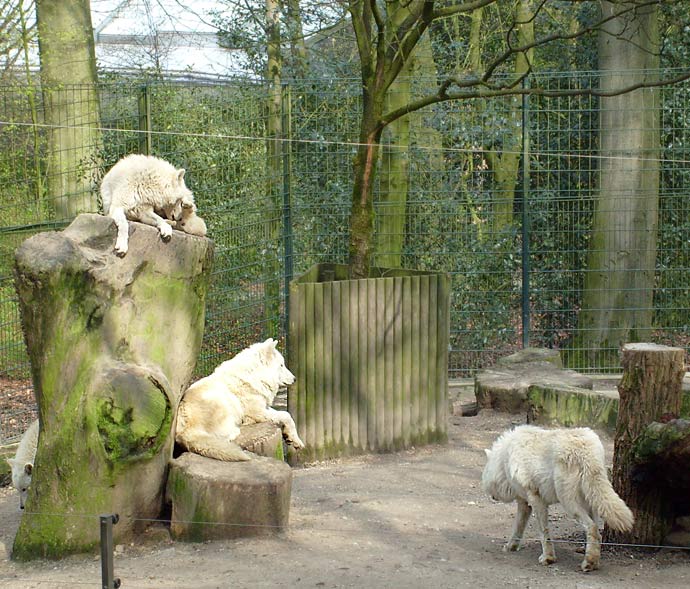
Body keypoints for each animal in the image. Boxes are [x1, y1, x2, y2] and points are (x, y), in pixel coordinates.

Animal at [175, 338, 304, 462]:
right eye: (281, 365)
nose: (295, 379)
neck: (254, 376)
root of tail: (186, 431)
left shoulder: (263, 406)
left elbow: (287, 415)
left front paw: (293, 440)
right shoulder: (259, 412)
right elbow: (285, 415)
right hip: (224, 402)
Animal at [482, 424, 632, 572]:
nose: (492, 497)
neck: (504, 460)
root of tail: (587, 452)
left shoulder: (536, 499)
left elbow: (544, 532)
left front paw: (548, 558)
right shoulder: (524, 502)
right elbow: (518, 527)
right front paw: (511, 546)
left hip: (569, 503)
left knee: (592, 527)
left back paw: (588, 563)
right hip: (590, 503)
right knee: (597, 533)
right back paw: (594, 562)